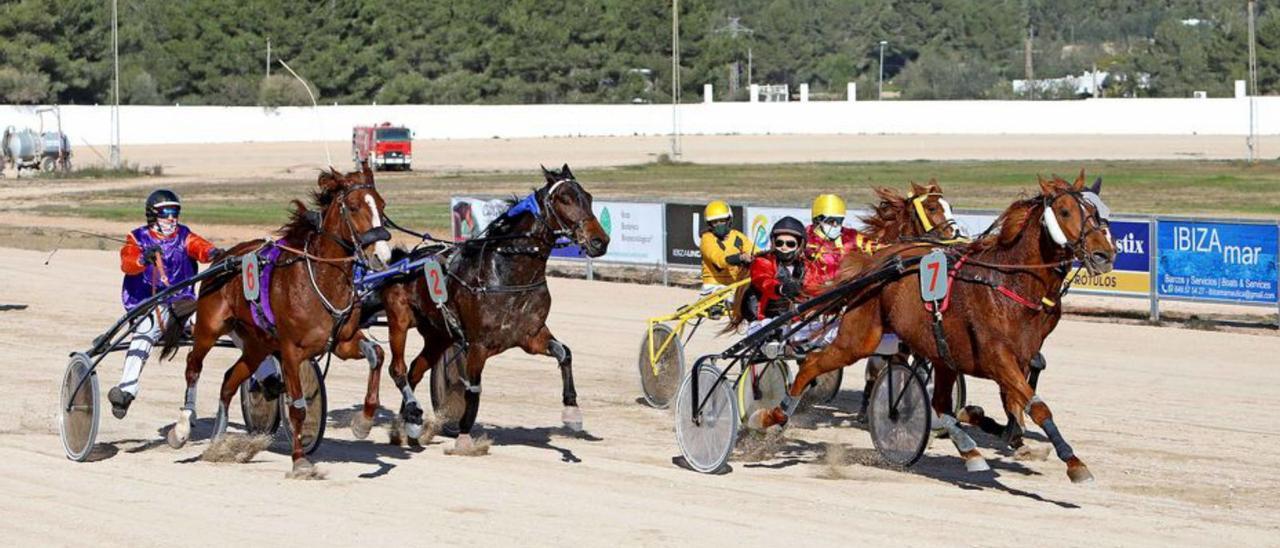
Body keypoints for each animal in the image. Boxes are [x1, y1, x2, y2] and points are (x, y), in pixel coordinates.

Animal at [161, 162, 389, 476]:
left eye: (382, 204)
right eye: (354, 207)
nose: (383, 256)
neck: (320, 279)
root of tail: (225, 258)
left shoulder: (341, 342)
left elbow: (376, 354)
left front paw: (363, 422)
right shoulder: (292, 351)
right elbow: (298, 406)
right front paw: (300, 460)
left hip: (258, 345)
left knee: (229, 381)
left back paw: (217, 442)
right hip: (209, 328)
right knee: (193, 367)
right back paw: (182, 428)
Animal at [371, 165, 609, 450]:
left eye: (588, 197)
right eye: (565, 199)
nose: (600, 241)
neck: (509, 275)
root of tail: (403, 260)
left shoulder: (531, 336)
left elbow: (566, 354)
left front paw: (572, 412)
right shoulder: (478, 345)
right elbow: (472, 389)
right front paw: (464, 437)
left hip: (439, 334)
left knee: (415, 371)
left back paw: (408, 425)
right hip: (399, 320)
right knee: (398, 370)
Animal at [752, 172, 1116, 481]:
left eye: (1095, 212)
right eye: (1065, 212)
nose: (1104, 254)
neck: (1010, 283)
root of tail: (878, 263)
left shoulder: (1020, 356)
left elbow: (1015, 409)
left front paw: (997, 429)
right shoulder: (997, 358)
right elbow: (1037, 407)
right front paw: (1073, 461)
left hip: (940, 353)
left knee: (940, 403)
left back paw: (969, 448)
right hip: (859, 337)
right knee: (812, 364)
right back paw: (772, 415)